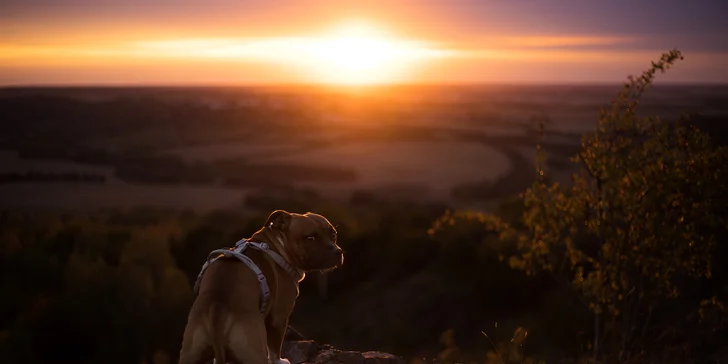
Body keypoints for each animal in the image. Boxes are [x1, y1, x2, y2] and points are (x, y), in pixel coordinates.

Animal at [178, 209, 344, 364]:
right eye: (310, 238)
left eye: (333, 235)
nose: (338, 252)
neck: (277, 245)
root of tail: (217, 307)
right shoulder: (278, 317)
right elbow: (275, 349)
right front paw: (280, 361)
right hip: (253, 346)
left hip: (191, 351)